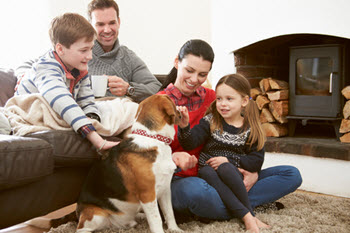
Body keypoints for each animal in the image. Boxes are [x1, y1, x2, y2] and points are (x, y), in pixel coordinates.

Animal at [27, 94, 183, 233]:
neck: (153, 138)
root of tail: (77, 211)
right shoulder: (148, 194)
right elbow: (156, 220)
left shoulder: (165, 190)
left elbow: (169, 213)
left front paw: (175, 229)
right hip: (95, 216)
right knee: (81, 229)